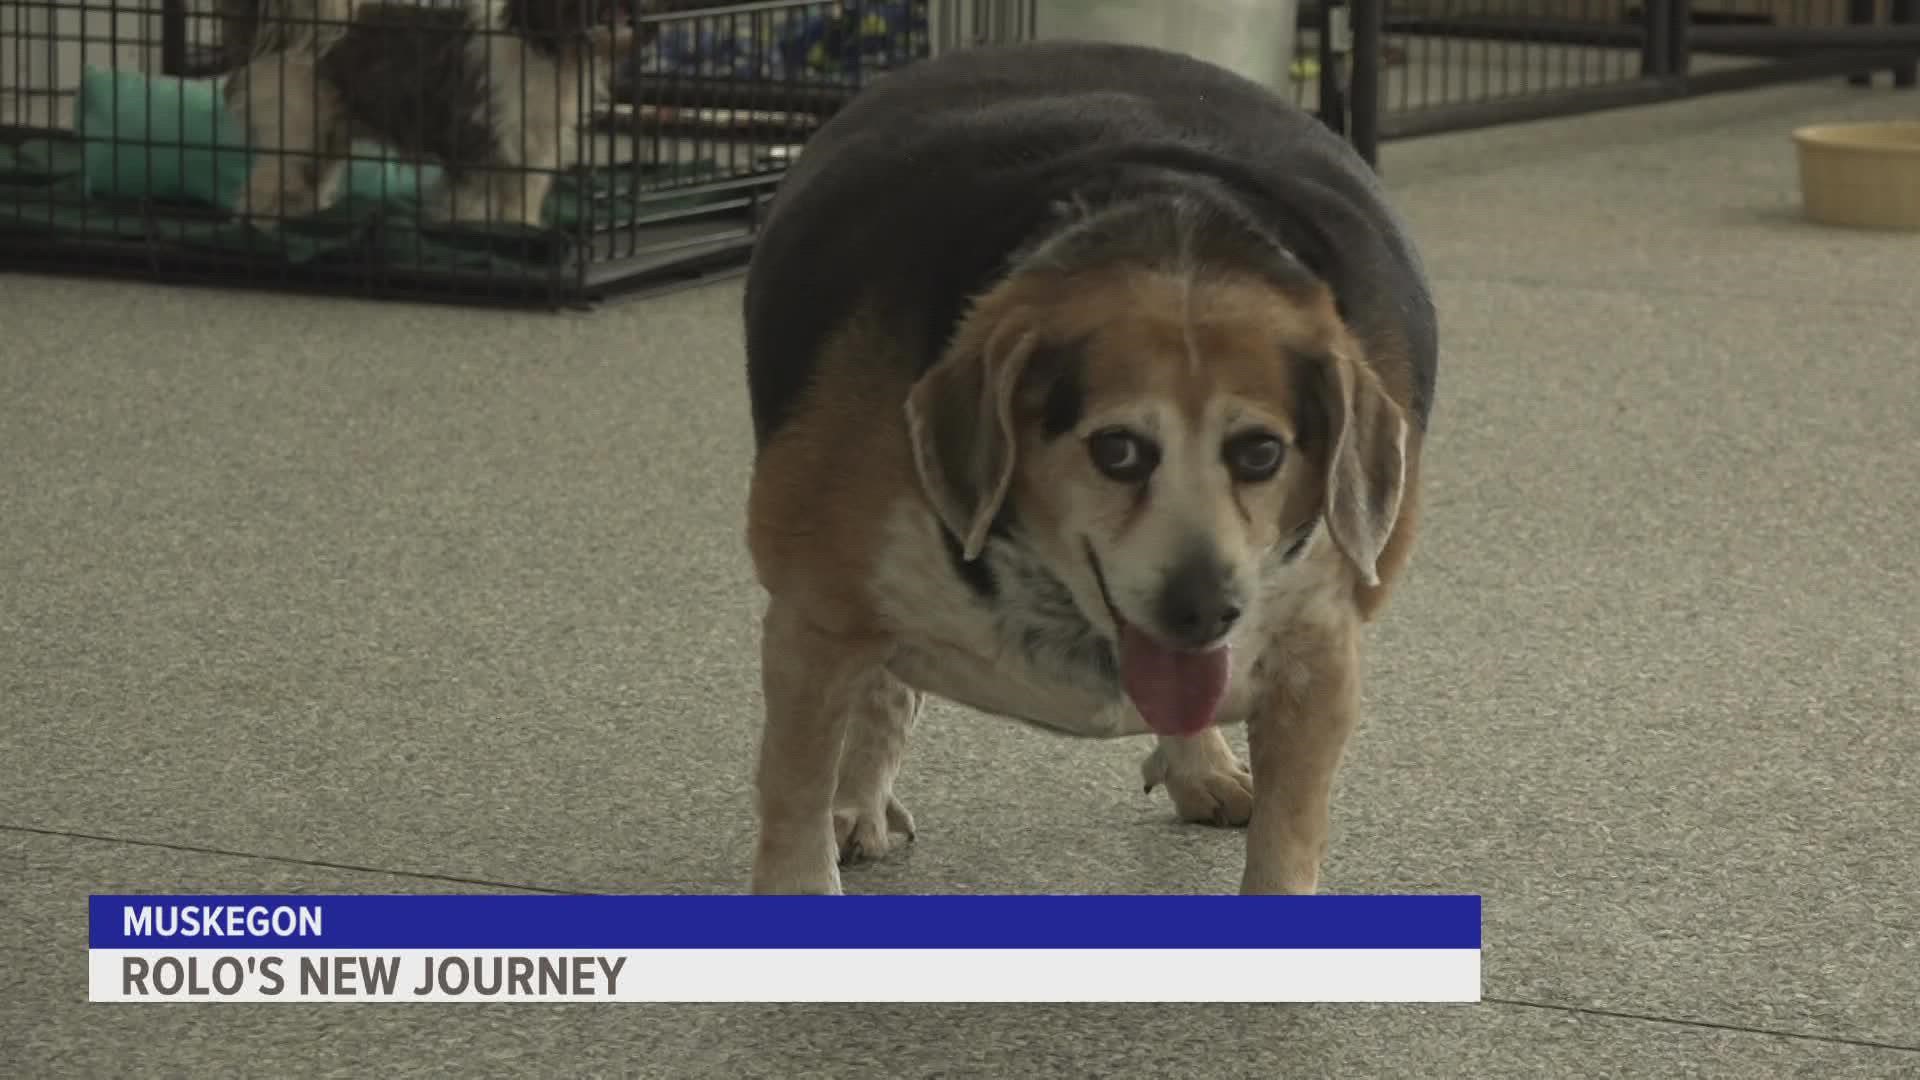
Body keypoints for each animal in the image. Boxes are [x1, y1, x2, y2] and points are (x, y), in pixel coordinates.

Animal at [217, 0, 637, 224]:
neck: (547, 49)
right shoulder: (477, 141)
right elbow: (473, 205)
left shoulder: (536, 149)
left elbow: (522, 203)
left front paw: (523, 229)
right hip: (296, 125)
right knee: (263, 184)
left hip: (326, 132)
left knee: (305, 181)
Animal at [741, 39, 1436, 891]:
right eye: (1118, 451)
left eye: (1261, 452)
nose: (1205, 610)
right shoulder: (813, 624)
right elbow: (797, 803)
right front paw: (821, 832)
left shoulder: (1319, 661)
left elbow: (1286, 842)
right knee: (882, 697)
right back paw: (858, 803)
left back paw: (1202, 766)